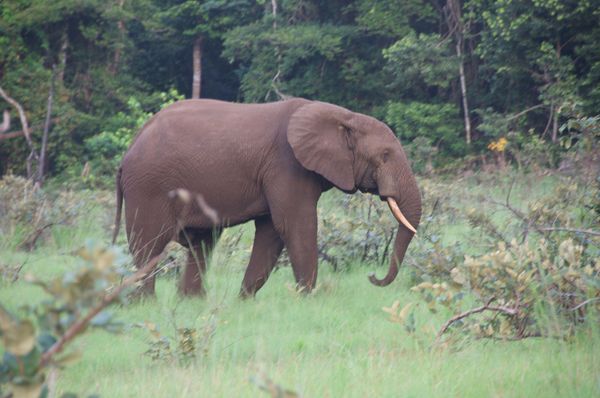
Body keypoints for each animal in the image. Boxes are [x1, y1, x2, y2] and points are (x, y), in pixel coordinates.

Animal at [113, 98, 422, 298]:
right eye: (385, 156)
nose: (372, 277)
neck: (344, 116)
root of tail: (128, 151)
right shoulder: (286, 165)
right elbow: (295, 225)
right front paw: (308, 299)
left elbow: (271, 231)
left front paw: (244, 301)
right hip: (149, 185)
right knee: (150, 244)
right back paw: (147, 302)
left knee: (201, 242)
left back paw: (192, 302)